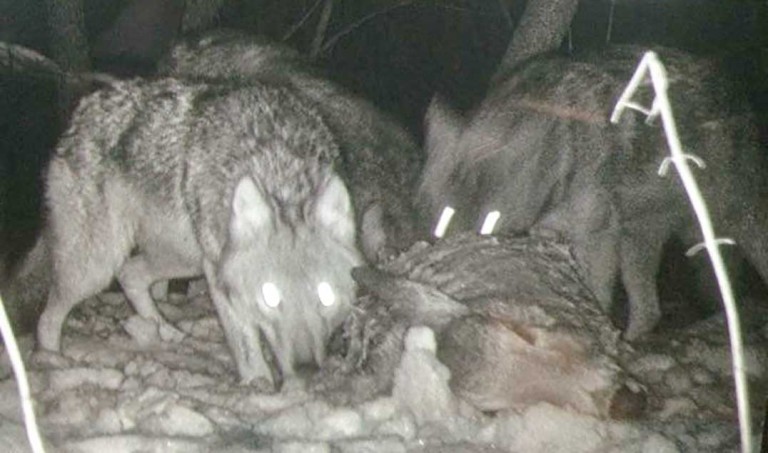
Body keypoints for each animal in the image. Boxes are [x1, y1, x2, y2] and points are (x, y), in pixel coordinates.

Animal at [37, 77, 364, 387]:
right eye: (270, 296)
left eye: (325, 295)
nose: (307, 369)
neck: (281, 169)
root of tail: (84, 108)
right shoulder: (221, 280)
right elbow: (246, 344)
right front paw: (257, 384)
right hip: (98, 268)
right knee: (47, 319)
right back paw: (52, 362)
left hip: (183, 258)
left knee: (130, 274)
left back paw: (166, 334)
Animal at [418, 46, 768, 340]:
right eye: (444, 221)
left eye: (490, 221)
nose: (453, 267)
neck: (563, 152)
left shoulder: (596, 237)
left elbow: (597, 296)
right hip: (640, 242)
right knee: (650, 311)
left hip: (738, 223)